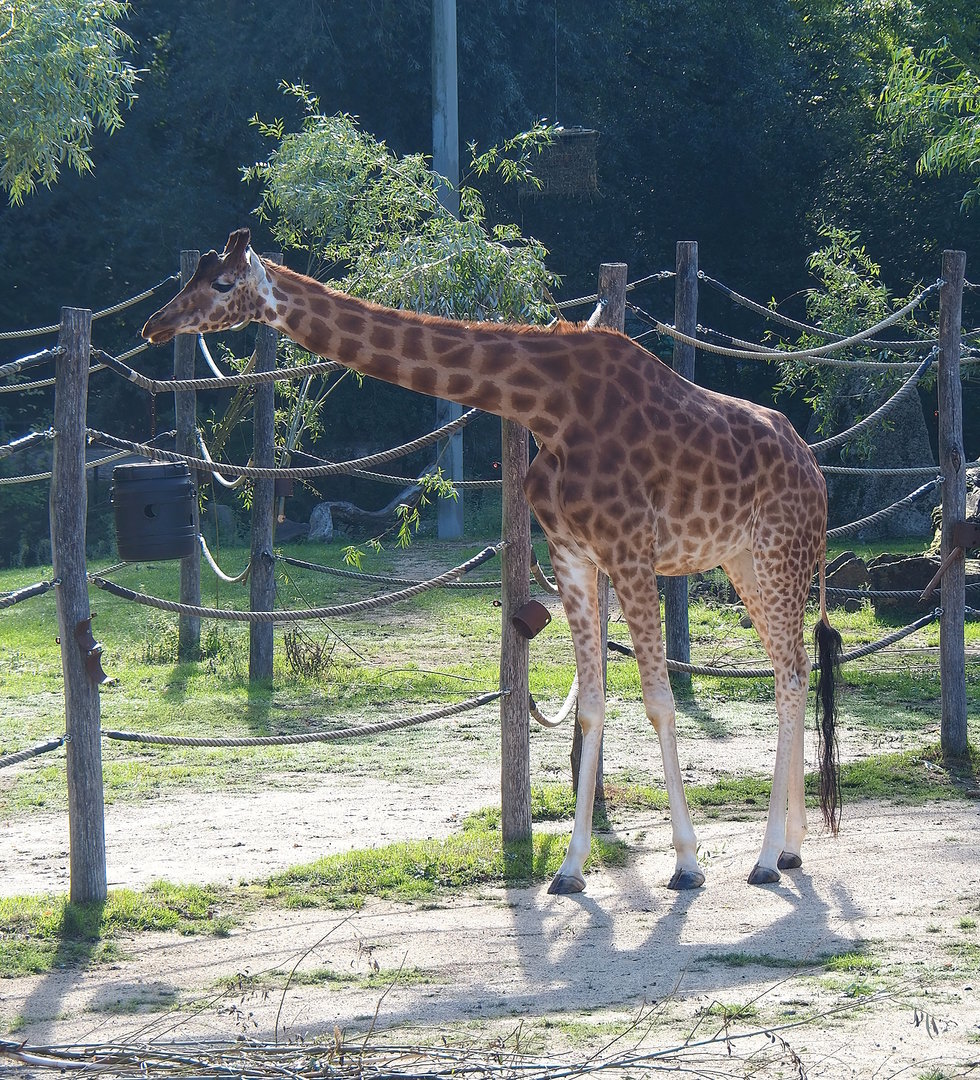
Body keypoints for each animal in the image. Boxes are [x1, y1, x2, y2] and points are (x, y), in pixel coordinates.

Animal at [143, 228, 843, 893]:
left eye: (223, 282)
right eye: (195, 275)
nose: (155, 325)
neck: (547, 406)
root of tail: (816, 474)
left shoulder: (631, 551)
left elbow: (659, 701)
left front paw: (688, 864)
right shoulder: (572, 554)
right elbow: (591, 705)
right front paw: (571, 868)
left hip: (779, 553)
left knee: (789, 675)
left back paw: (765, 858)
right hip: (745, 562)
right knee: (793, 669)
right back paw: (789, 849)